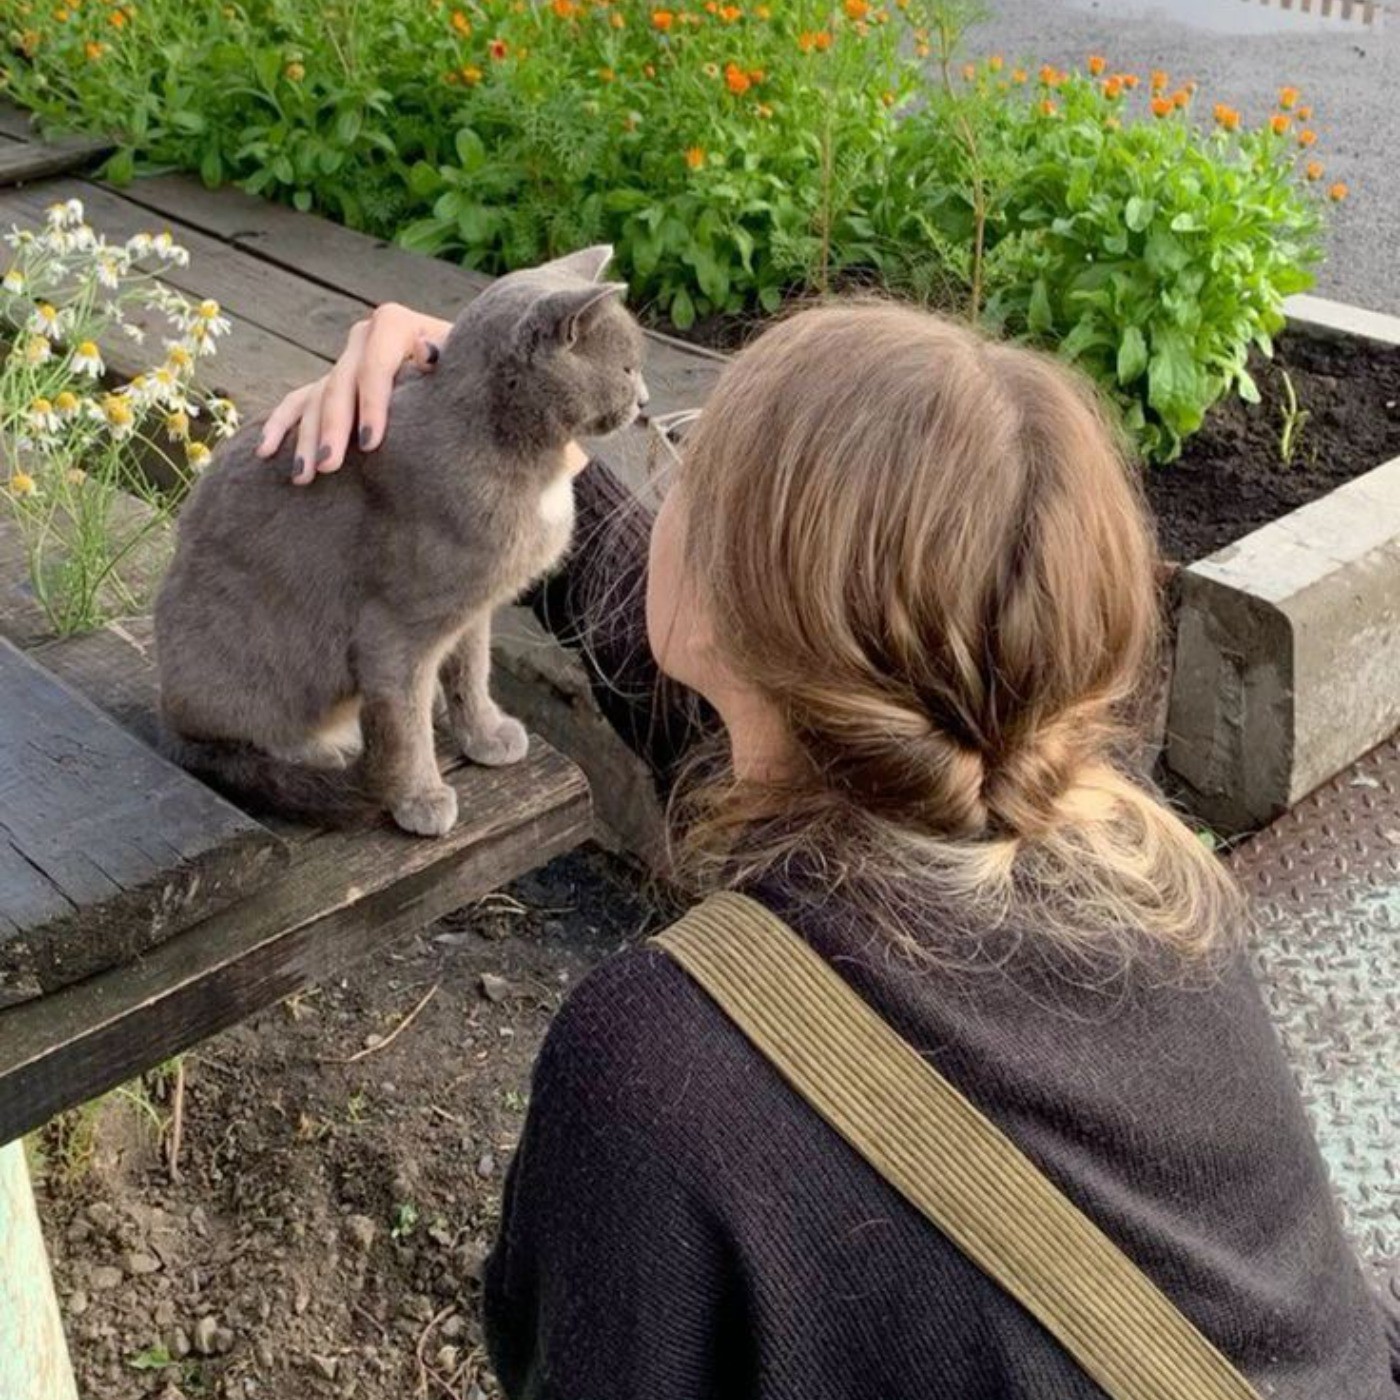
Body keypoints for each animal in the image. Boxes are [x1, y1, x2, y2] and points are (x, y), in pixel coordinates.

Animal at [153, 246, 644, 834]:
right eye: (628, 367)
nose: (644, 400)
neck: (526, 462)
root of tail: (168, 719)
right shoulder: (394, 630)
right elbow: (404, 725)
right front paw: (421, 799)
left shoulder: (472, 612)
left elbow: (472, 673)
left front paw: (485, 734)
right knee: (239, 741)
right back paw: (319, 750)